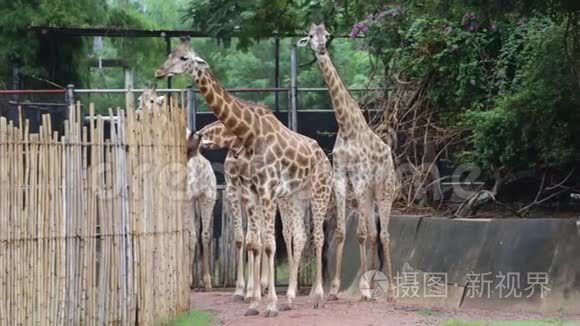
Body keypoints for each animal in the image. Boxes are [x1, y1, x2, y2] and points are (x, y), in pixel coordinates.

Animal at [139, 86, 216, 290]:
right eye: (139, 100)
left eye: (152, 102)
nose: (138, 114)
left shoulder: (185, 199)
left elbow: (189, 236)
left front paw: (186, 280)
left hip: (207, 197)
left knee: (203, 235)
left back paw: (205, 281)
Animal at [154, 37, 334, 316]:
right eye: (171, 53)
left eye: (185, 58)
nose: (160, 72)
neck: (249, 134)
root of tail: (325, 157)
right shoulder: (250, 192)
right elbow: (253, 242)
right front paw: (254, 302)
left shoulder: (266, 190)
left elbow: (268, 244)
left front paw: (269, 304)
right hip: (294, 196)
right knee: (301, 235)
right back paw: (291, 297)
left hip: (319, 192)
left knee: (318, 237)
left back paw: (317, 296)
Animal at [300, 22, 398, 302]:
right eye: (310, 36)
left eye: (326, 35)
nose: (321, 47)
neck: (345, 124)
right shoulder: (341, 176)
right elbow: (344, 232)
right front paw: (334, 289)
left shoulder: (360, 176)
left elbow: (362, 233)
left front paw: (362, 289)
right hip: (369, 193)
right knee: (374, 233)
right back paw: (374, 284)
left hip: (384, 189)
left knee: (383, 234)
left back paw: (390, 292)